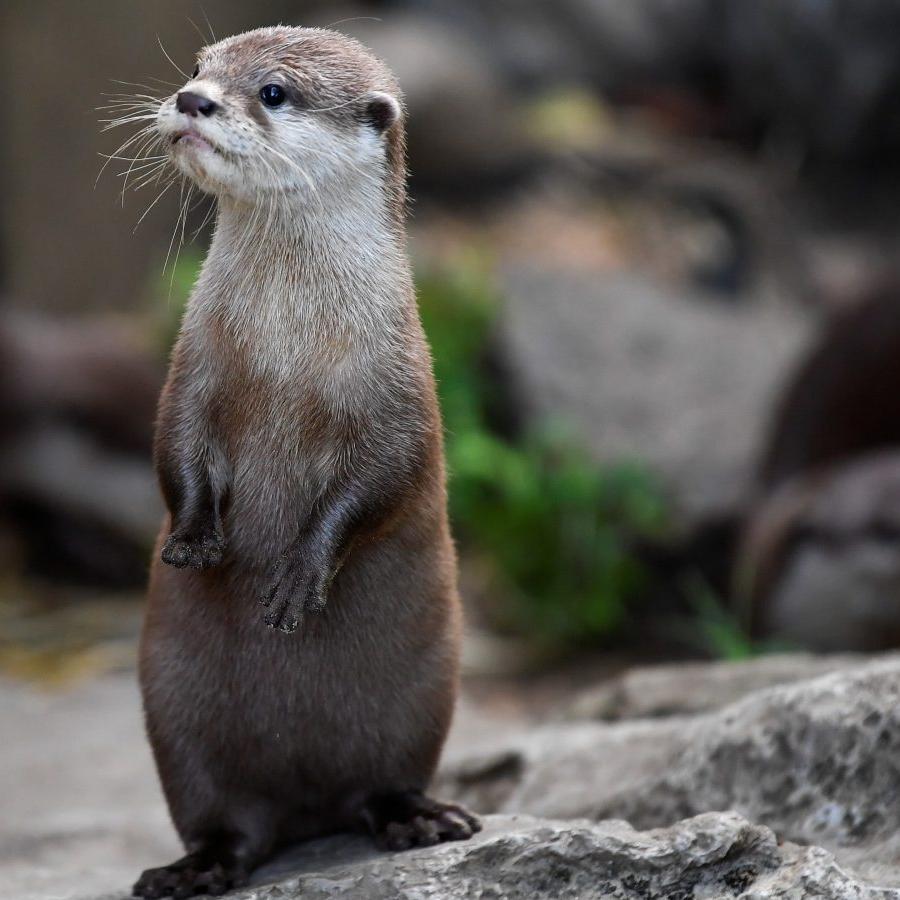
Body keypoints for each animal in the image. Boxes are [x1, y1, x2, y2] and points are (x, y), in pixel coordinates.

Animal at [130, 26, 479, 899]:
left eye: (274, 92)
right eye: (199, 67)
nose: (192, 100)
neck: (286, 351)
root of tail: (308, 812)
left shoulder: (401, 390)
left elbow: (382, 484)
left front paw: (296, 580)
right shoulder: (193, 368)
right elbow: (175, 449)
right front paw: (194, 540)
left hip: (420, 701)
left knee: (381, 781)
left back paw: (419, 818)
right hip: (179, 724)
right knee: (225, 820)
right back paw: (194, 868)